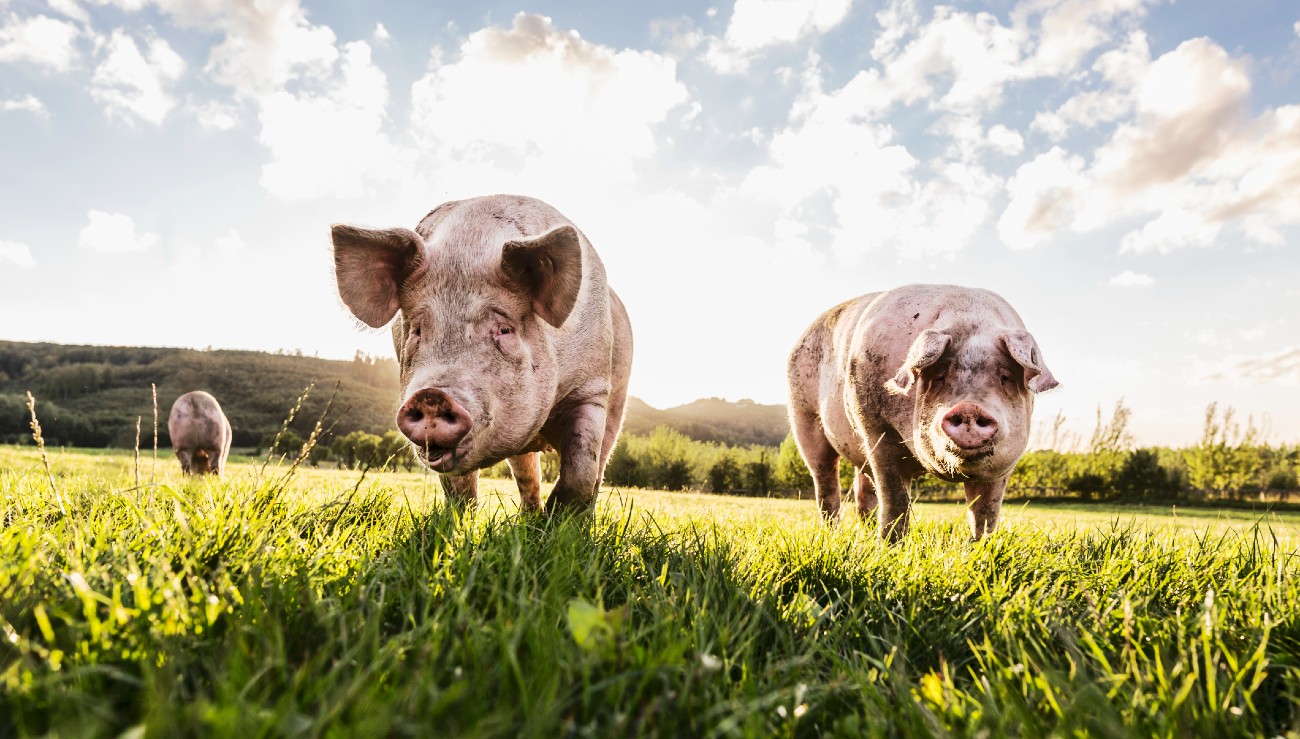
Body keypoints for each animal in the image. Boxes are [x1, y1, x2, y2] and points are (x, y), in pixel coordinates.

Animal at [332, 193, 631, 510]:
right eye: (417, 330)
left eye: (504, 329)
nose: (431, 396)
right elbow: (459, 488)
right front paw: (459, 519)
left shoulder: (591, 388)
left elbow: (582, 469)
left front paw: (562, 520)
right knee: (527, 472)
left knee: (598, 466)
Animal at [785, 286, 1060, 538]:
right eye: (939, 376)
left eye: (1005, 377)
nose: (969, 407)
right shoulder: (876, 428)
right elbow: (895, 499)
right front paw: (890, 547)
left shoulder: (1004, 465)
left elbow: (985, 511)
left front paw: (980, 547)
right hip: (804, 417)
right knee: (825, 482)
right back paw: (833, 533)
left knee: (862, 489)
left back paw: (867, 532)